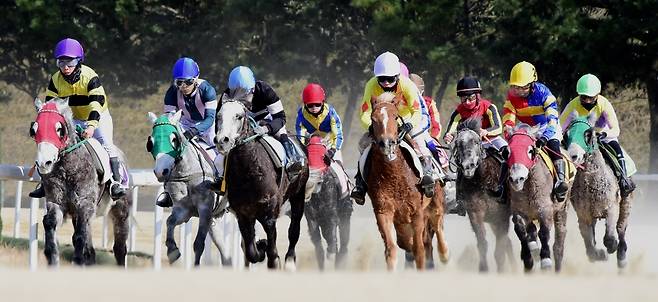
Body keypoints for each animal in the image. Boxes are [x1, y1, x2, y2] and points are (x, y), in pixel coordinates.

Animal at [30, 98, 131, 266]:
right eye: (34, 129)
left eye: (59, 129)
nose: (44, 163)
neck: (68, 169)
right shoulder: (56, 202)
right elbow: (49, 223)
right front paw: (51, 256)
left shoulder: (85, 204)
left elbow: (79, 236)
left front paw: (76, 261)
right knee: (91, 251)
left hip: (121, 211)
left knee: (119, 249)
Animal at [146, 109, 231, 266]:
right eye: (151, 142)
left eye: (174, 139)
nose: (161, 172)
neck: (186, 173)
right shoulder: (183, 210)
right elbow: (170, 222)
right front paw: (172, 252)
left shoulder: (205, 208)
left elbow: (199, 243)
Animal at [362, 91, 448, 268]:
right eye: (373, 118)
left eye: (395, 117)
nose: (386, 144)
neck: (394, 176)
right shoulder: (384, 211)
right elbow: (391, 249)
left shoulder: (416, 212)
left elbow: (419, 250)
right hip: (401, 220)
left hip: (435, 202)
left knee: (437, 226)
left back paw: (444, 255)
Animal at [452, 118, 512, 274]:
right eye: (458, 143)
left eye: (476, 141)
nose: (468, 166)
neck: (484, 181)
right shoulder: (475, 213)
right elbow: (482, 243)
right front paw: (483, 269)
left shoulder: (502, 217)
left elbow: (500, 249)